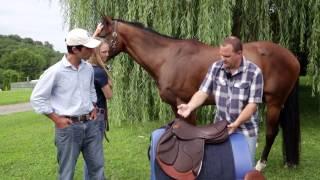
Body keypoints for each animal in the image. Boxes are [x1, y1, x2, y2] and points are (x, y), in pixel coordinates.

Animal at [99, 16, 302, 169]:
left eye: (103, 35)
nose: (96, 57)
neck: (167, 58)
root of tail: (292, 57)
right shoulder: (178, 106)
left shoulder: (185, 102)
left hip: (275, 103)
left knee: (271, 132)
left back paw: (260, 165)